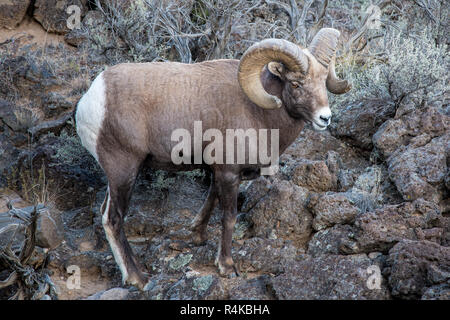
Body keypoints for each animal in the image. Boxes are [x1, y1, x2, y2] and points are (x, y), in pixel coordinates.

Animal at [75, 28, 350, 290]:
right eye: (295, 84)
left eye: (323, 80)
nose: (325, 118)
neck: (258, 113)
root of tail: (90, 101)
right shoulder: (229, 173)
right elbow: (228, 216)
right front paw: (226, 266)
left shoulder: (218, 172)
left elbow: (210, 199)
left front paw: (197, 236)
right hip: (124, 172)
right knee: (113, 219)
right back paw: (138, 279)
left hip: (117, 178)